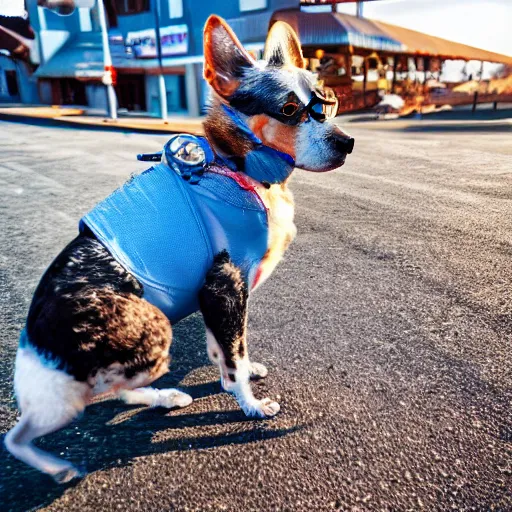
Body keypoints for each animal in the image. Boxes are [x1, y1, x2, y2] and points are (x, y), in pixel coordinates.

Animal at [4, 14, 354, 482]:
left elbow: (229, 349)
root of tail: (32, 338)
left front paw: (240, 371)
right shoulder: (225, 287)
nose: (347, 142)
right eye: (288, 110)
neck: (233, 165)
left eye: (328, 102)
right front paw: (249, 405)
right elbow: (233, 359)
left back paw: (163, 397)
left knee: (113, 390)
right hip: (145, 333)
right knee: (24, 433)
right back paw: (59, 465)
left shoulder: (217, 296)